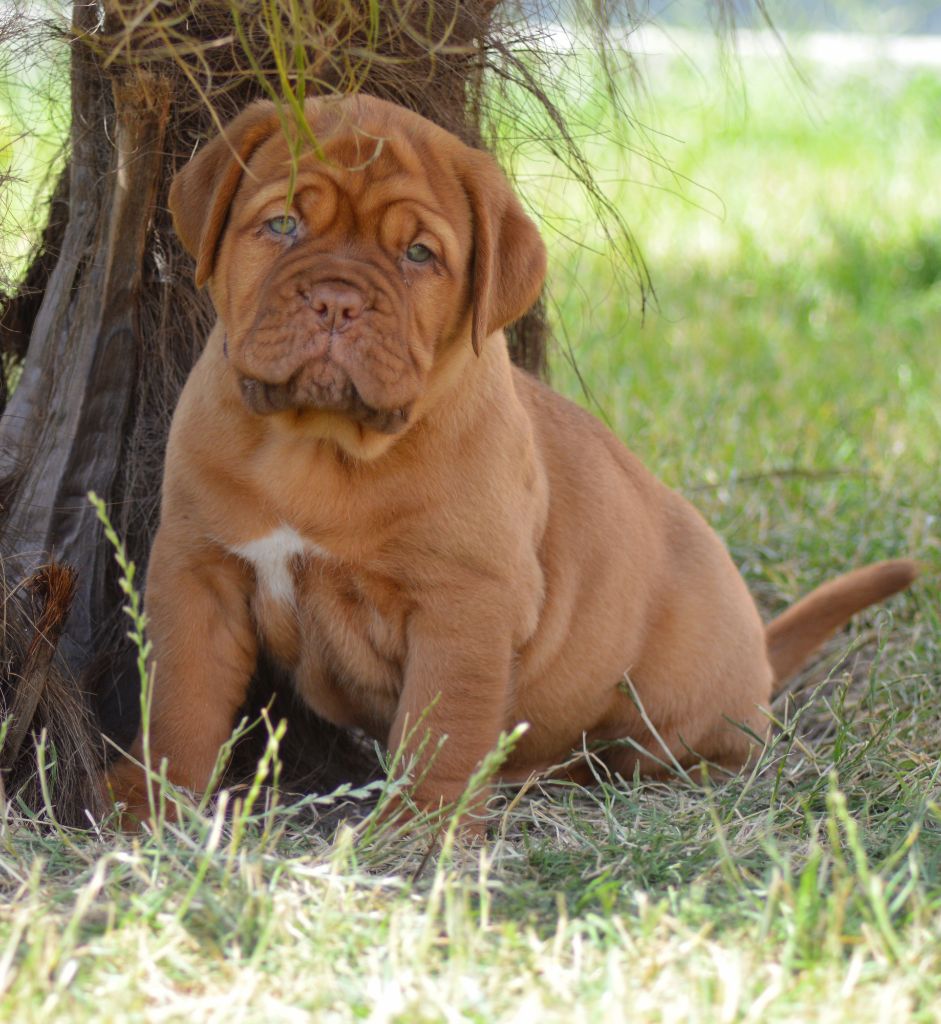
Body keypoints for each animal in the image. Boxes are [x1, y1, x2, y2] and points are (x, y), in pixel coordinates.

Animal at [107, 94, 916, 825]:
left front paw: (418, 837)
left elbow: (440, 729)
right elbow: (179, 702)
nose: (337, 300)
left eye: (418, 255)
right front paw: (149, 806)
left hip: (669, 716)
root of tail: (760, 651)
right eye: (282, 224)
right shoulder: (198, 569)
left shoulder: (465, 605)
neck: (317, 443)